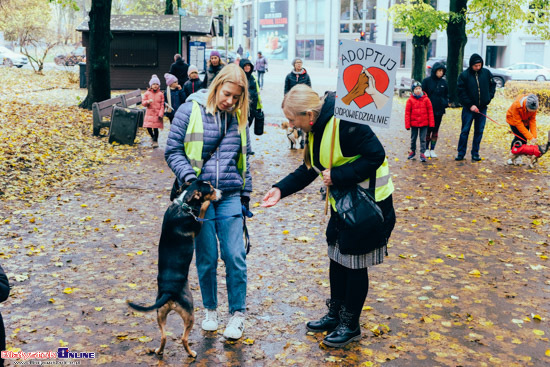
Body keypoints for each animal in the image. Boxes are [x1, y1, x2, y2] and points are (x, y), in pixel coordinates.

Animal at [129, 181, 222, 360]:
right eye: (211, 189)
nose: (221, 192)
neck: (183, 204)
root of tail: (169, 292)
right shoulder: (197, 224)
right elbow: (203, 208)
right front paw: (206, 203)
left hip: (160, 314)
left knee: (164, 337)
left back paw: (159, 351)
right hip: (189, 314)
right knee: (184, 339)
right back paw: (192, 353)